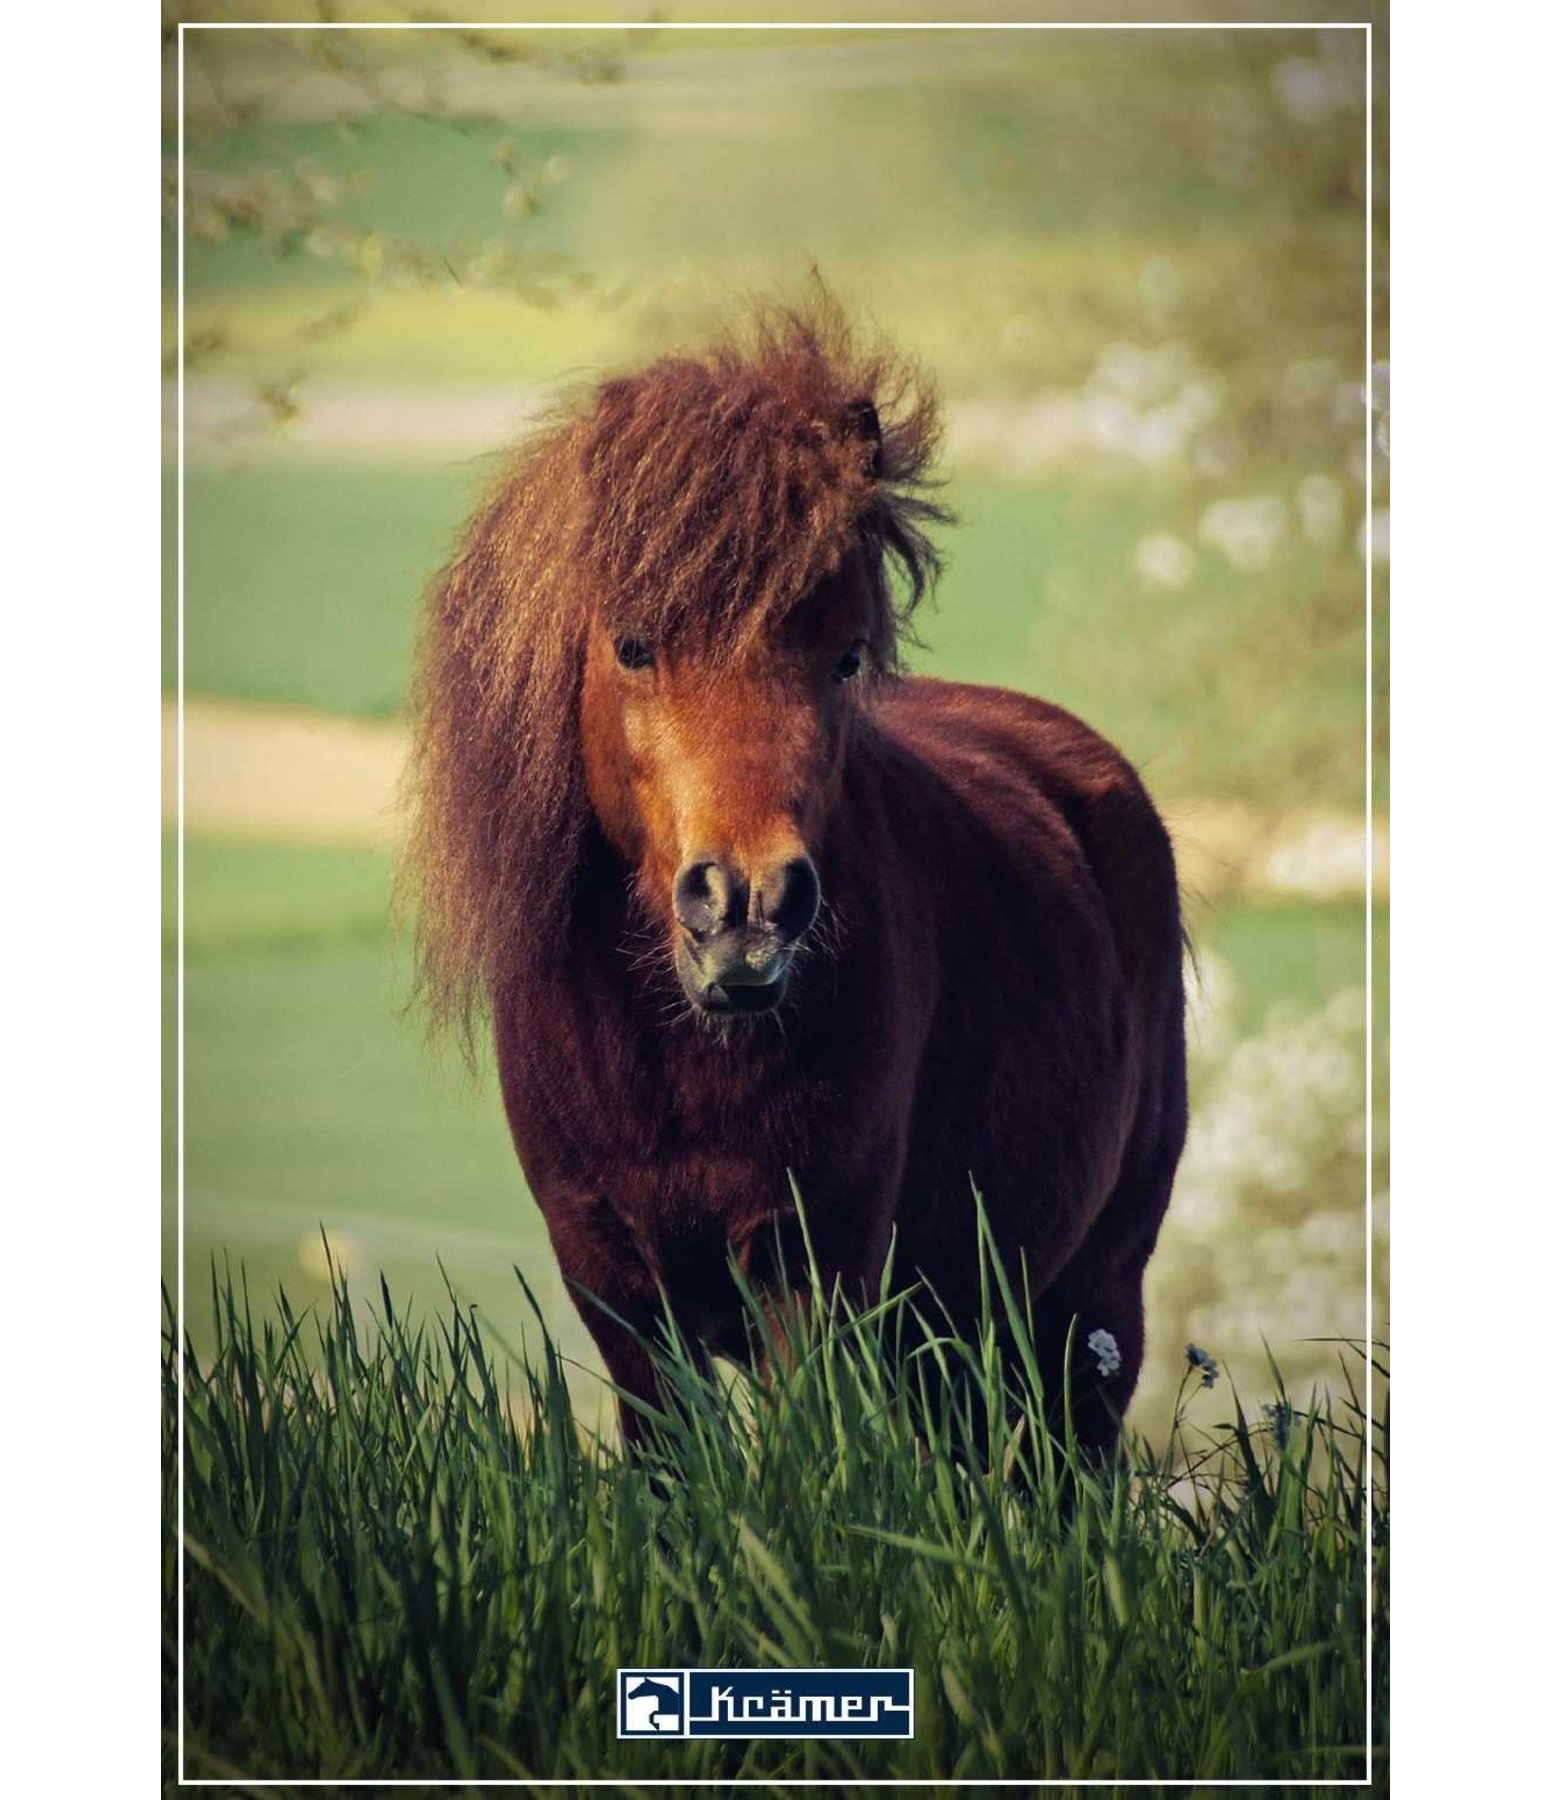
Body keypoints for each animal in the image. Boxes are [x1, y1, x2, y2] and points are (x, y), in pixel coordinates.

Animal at [401, 306, 1188, 1461]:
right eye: (632, 646)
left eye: (846, 657)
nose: (748, 910)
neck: (669, 1060)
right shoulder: (617, 1292)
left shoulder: (809, 1276)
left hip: (1085, 1311)